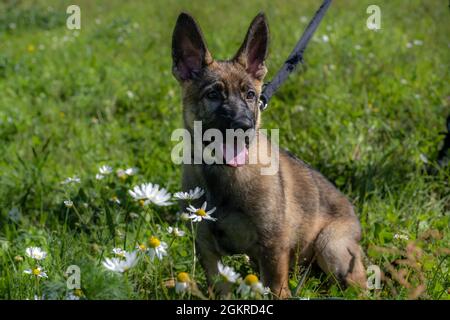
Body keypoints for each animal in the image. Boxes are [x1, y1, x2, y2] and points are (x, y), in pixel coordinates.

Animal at [171, 11, 366, 298]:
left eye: (251, 95)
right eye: (213, 94)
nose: (244, 126)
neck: (223, 175)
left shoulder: (272, 246)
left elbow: (276, 289)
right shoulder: (207, 249)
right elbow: (220, 288)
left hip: (332, 248)